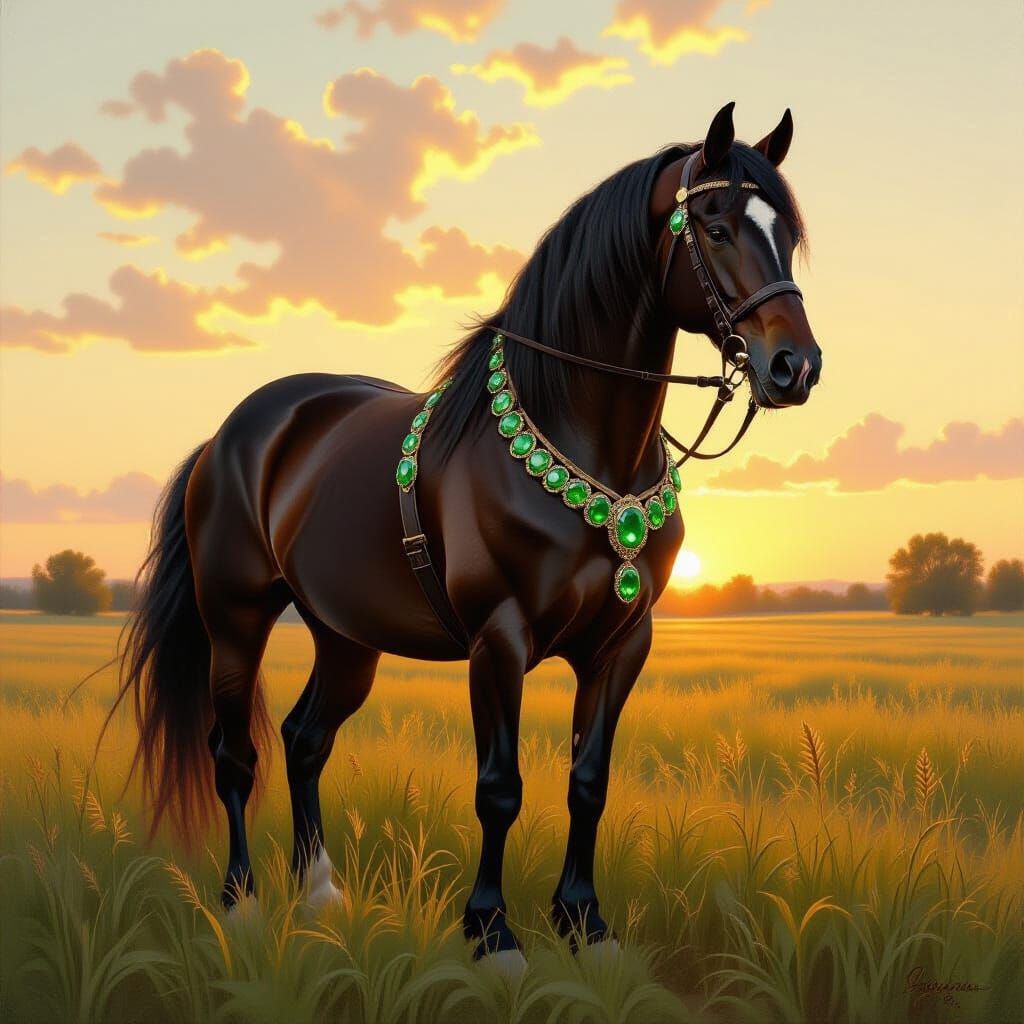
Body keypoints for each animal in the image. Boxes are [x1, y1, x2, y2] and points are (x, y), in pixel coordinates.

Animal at [114, 101, 822, 970]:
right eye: (716, 226)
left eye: (786, 233)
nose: (795, 366)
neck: (585, 448)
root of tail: (230, 435)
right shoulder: (499, 640)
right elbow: (500, 787)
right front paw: (492, 931)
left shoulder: (623, 643)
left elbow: (589, 782)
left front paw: (585, 923)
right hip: (235, 621)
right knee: (235, 756)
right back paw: (241, 903)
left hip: (345, 637)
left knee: (305, 739)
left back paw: (318, 892)